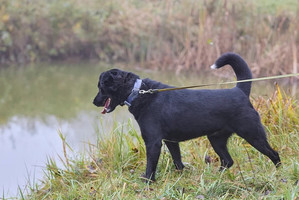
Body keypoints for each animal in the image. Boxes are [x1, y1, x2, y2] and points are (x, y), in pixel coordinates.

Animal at [93, 52, 282, 180]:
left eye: (101, 86)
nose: (94, 102)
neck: (138, 91)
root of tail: (240, 91)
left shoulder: (153, 142)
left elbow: (150, 166)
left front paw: (147, 181)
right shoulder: (170, 141)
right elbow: (177, 161)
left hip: (253, 134)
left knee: (274, 154)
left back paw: (279, 173)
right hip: (216, 139)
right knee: (228, 161)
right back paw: (214, 176)